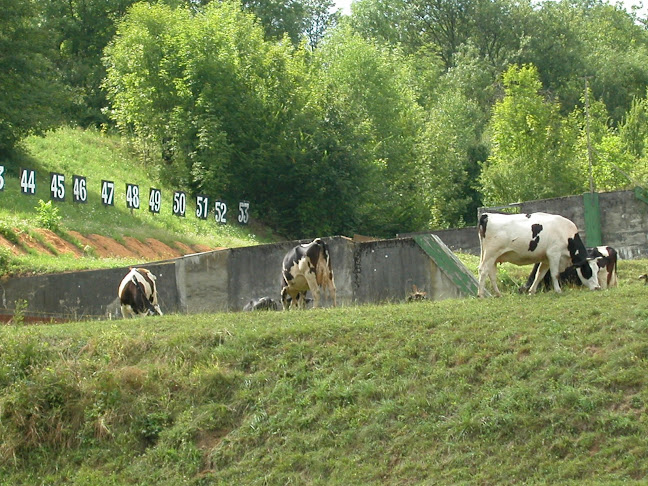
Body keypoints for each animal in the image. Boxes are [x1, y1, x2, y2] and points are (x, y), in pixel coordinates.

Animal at [476, 212, 604, 296]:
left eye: (597, 270)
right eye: (588, 271)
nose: (597, 287)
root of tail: (486, 215)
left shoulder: (546, 259)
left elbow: (540, 274)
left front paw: (532, 291)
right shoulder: (554, 254)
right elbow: (555, 274)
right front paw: (558, 291)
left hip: (493, 256)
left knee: (491, 273)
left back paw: (498, 294)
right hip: (491, 253)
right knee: (483, 270)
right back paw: (481, 294)